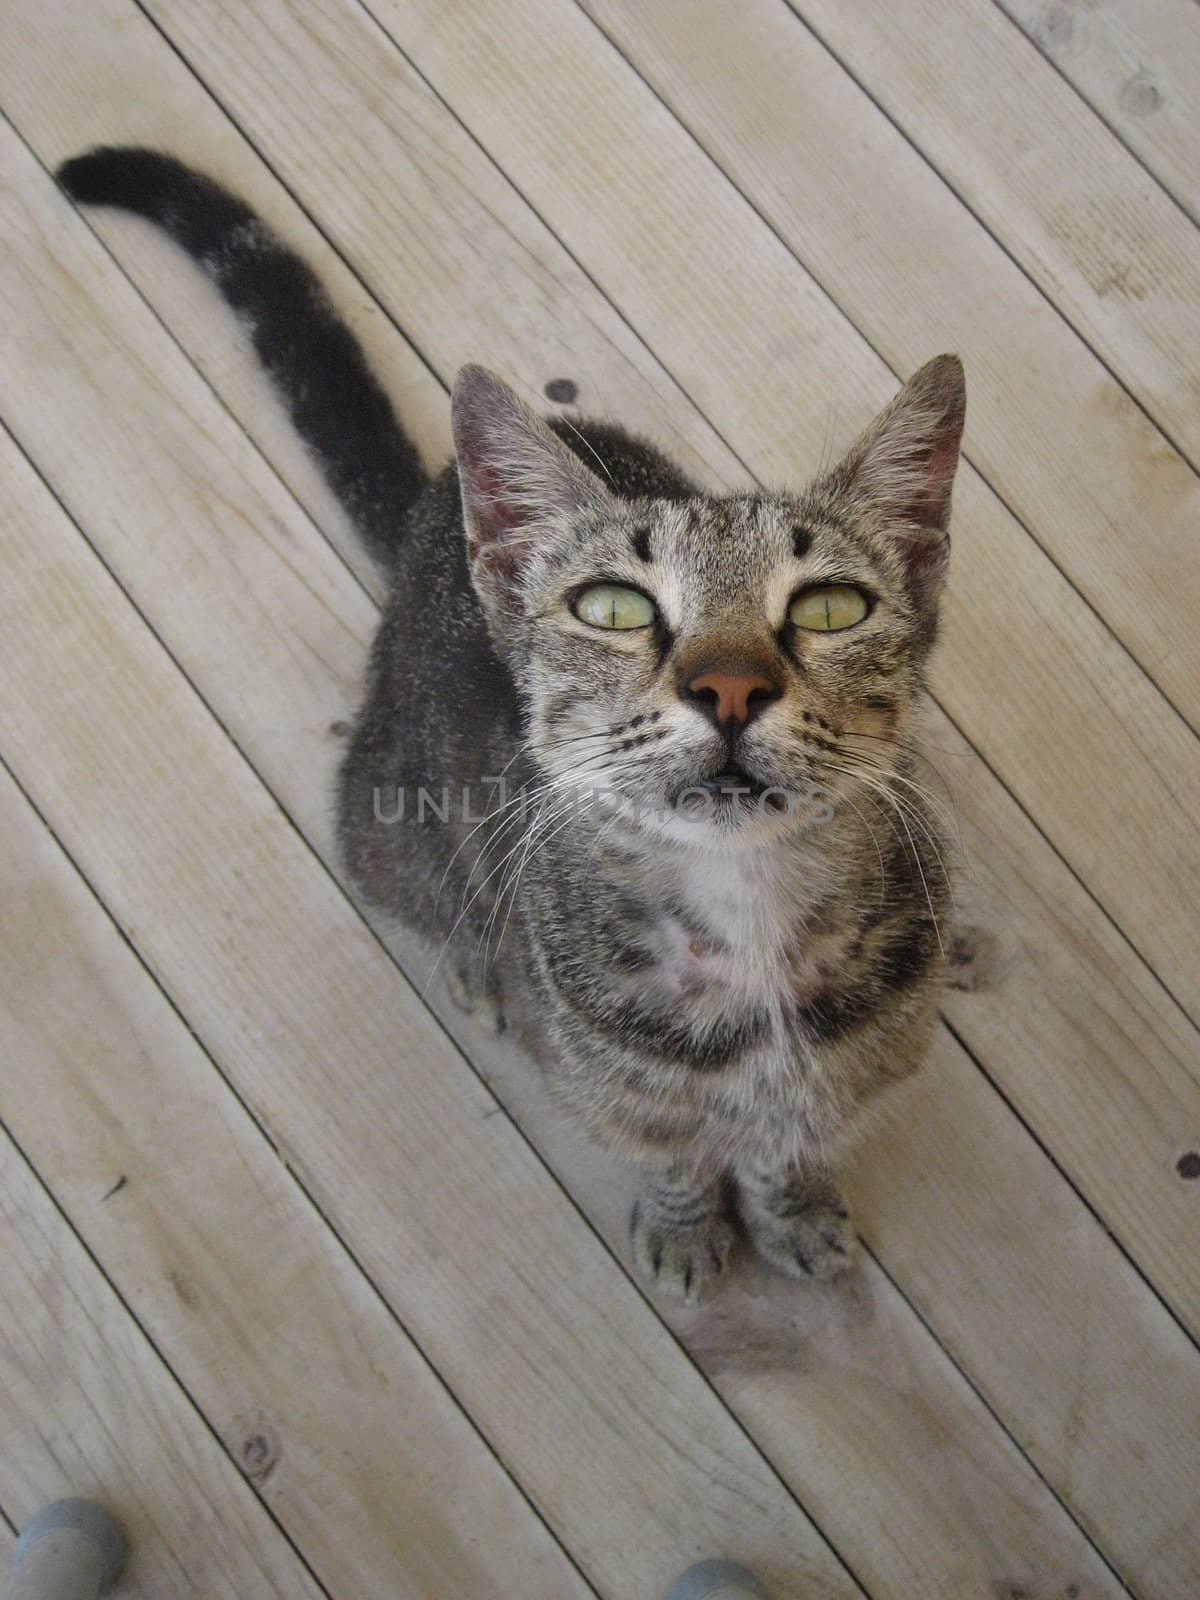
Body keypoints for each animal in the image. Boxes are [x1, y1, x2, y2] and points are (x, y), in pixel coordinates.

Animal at [63, 147, 966, 1299]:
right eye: (614, 607)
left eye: (830, 608)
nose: (728, 687)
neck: (750, 919)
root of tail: (432, 510)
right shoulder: (619, 1092)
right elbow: (677, 1158)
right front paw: (687, 1229)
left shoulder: (854, 1065)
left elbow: (783, 1146)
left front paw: (793, 1206)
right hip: (387, 826)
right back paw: (472, 960)